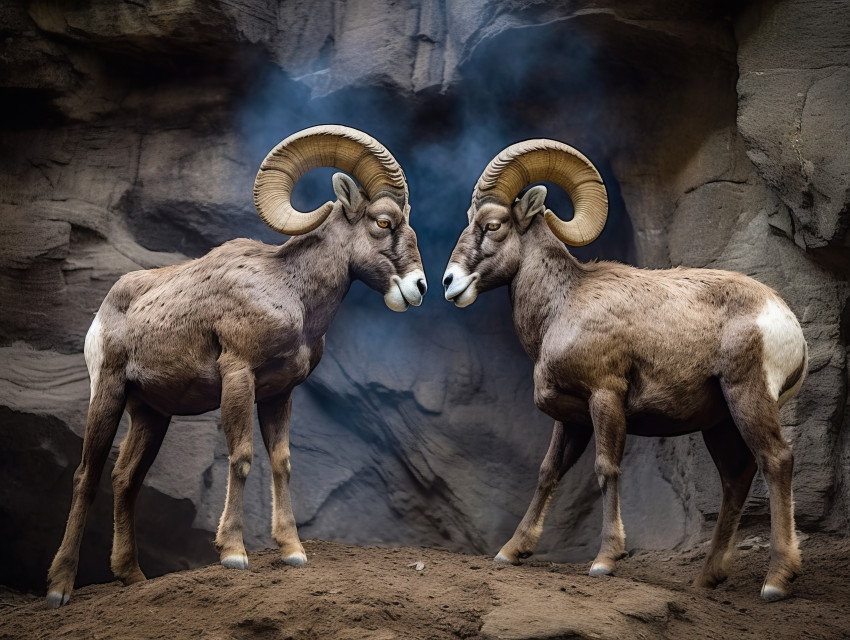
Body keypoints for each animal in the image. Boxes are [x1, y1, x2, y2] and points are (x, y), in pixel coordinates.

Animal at [46, 125, 428, 608]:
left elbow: (281, 462)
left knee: (124, 479)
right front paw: (232, 553)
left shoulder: (279, 394)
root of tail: (105, 310)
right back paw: (59, 588)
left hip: (151, 415)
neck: (291, 292)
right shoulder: (238, 376)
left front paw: (293, 551)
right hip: (109, 395)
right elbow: (242, 456)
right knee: (87, 476)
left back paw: (133, 576)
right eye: (382, 221)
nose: (419, 287)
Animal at [442, 139, 808, 602]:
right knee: (736, 478)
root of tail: (785, 320)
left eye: (493, 225)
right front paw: (511, 552)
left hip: (749, 397)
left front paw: (605, 560)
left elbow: (606, 469)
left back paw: (776, 581)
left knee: (776, 460)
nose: (449, 283)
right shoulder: (571, 419)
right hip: (720, 424)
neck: (561, 305)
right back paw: (706, 579)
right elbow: (547, 473)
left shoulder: (605, 397)